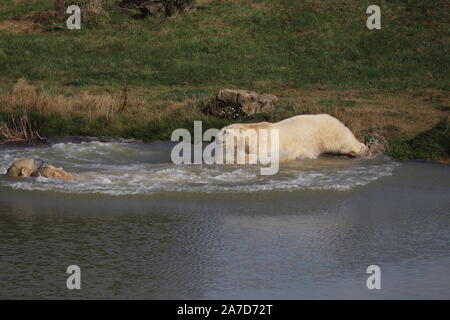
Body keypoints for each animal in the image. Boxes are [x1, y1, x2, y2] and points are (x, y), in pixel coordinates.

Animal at [219, 114, 370, 161]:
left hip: (331, 132)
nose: (216, 137)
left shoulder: (265, 142)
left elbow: (259, 154)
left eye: (225, 132)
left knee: (346, 143)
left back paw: (359, 151)